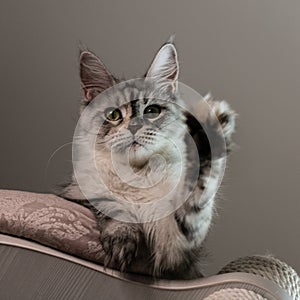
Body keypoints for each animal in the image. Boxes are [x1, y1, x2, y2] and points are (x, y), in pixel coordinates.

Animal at [60, 38, 234, 278]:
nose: (134, 127)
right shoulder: (79, 195)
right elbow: (112, 207)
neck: (138, 173)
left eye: (152, 111)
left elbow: (196, 195)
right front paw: (121, 241)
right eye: (113, 115)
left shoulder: (177, 250)